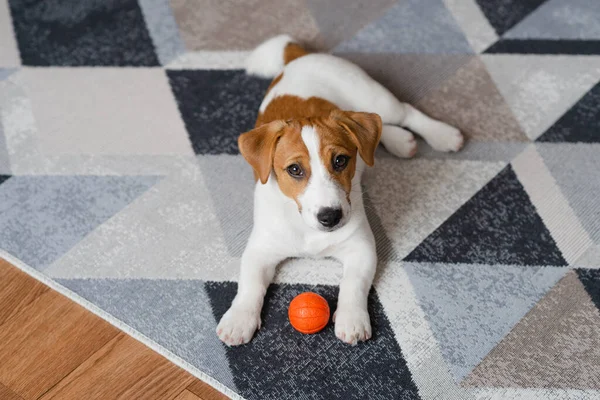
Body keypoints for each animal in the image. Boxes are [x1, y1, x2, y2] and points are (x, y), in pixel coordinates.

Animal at [217, 35, 464, 346]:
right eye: (294, 170)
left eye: (340, 161)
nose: (330, 217)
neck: (307, 228)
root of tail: (299, 56)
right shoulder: (260, 249)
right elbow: (249, 285)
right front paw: (238, 320)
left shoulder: (361, 248)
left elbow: (353, 285)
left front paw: (352, 319)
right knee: (374, 131)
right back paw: (400, 140)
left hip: (372, 94)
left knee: (400, 113)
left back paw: (442, 134)